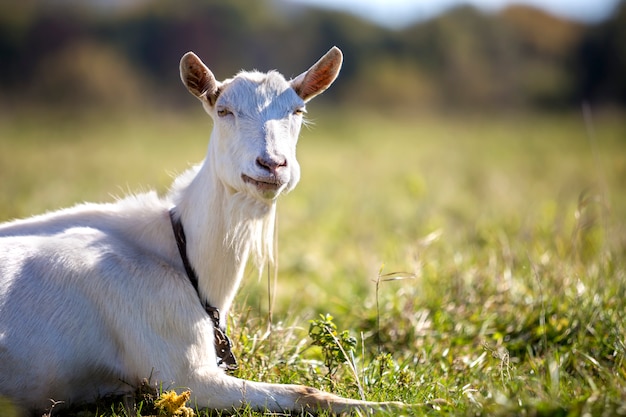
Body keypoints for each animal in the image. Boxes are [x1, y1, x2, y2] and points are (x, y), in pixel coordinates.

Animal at [0, 48, 402, 412]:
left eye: (298, 111)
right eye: (223, 111)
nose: (272, 164)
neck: (180, 252)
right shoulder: (180, 368)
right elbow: (306, 392)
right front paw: (393, 406)